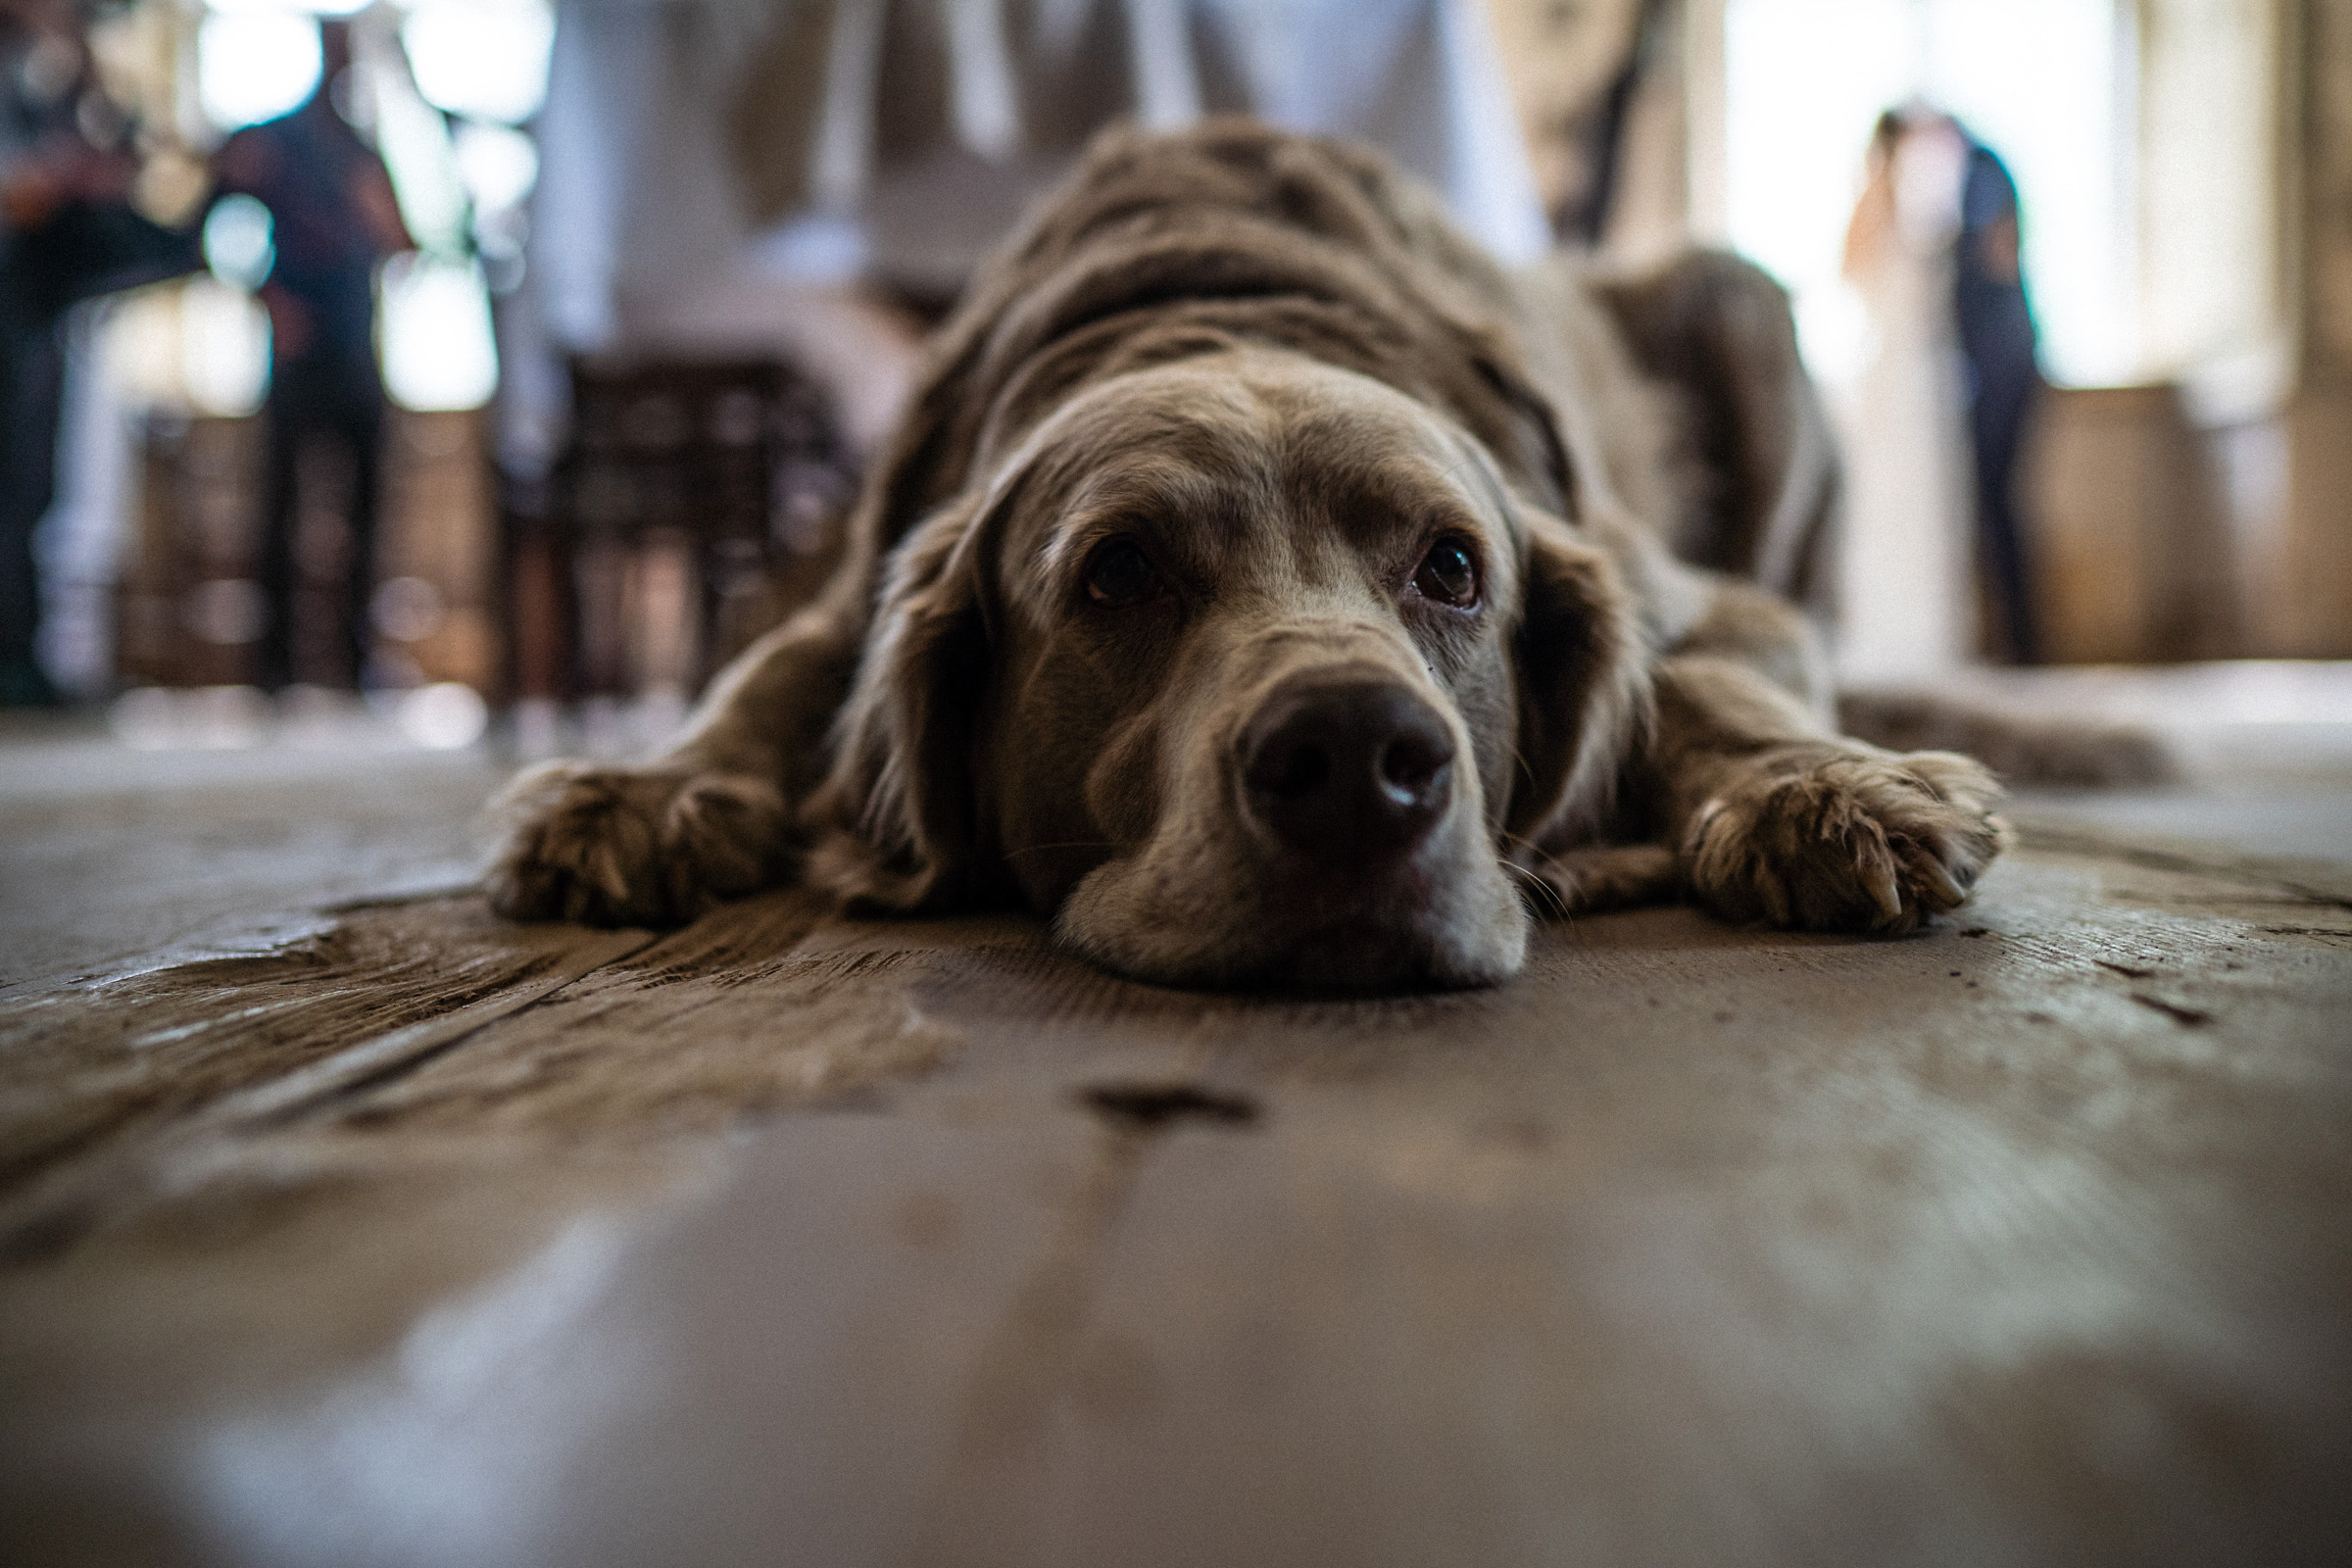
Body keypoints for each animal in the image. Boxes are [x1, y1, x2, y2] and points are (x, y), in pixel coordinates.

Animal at [491, 122, 2003, 987]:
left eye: (1454, 569)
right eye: (1115, 574)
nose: (1355, 759)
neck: (1228, 301)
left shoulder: (1705, 598)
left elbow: (1704, 681)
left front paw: (1822, 792)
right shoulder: (860, 576)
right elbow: (760, 678)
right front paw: (639, 792)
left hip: (1739, 304)